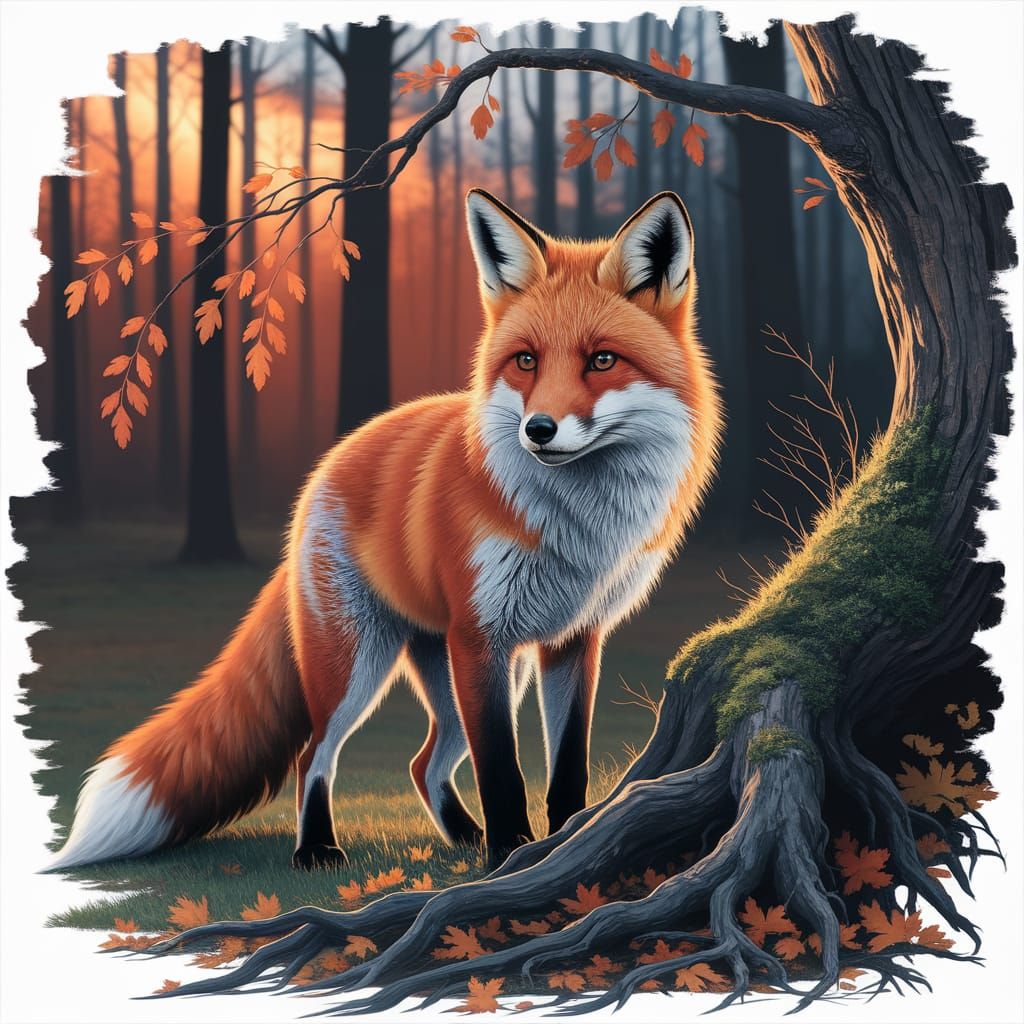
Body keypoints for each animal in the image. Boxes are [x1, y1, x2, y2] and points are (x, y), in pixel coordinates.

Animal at [50, 188, 722, 872]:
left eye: (602, 361)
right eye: (527, 361)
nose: (539, 430)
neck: (578, 529)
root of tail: (330, 464)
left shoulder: (573, 641)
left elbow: (566, 772)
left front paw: (558, 844)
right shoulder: (482, 638)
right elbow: (502, 773)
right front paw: (510, 855)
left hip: (467, 668)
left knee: (424, 762)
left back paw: (462, 838)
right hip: (360, 663)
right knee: (312, 755)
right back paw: (318, 847)